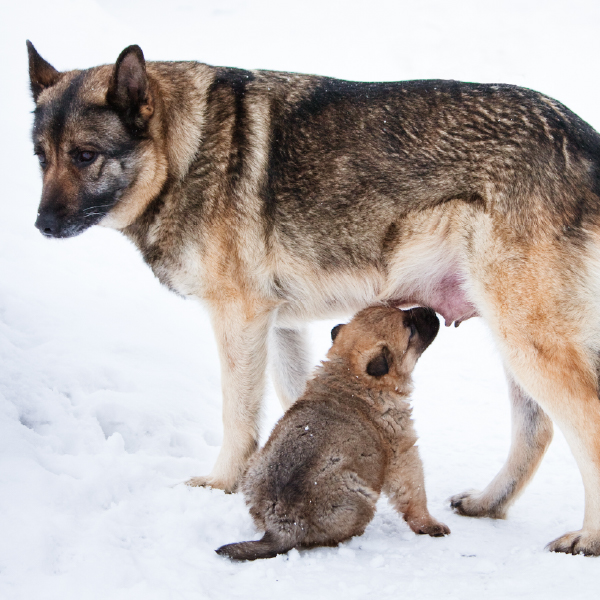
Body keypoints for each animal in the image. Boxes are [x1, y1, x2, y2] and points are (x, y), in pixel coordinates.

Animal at [216, 308, 446, 560]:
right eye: (410, 328)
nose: (431, 311)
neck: (348, 373)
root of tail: (284, 522)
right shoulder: (402, 451)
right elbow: (414, 493)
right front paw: (430, 525)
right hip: (361, 496)